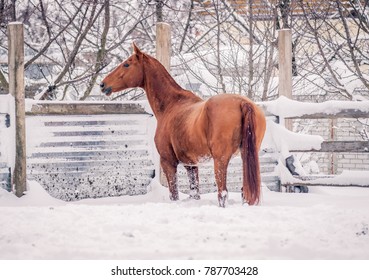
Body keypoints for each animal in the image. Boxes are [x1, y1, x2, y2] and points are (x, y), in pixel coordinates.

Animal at [100, 42, 264, 207]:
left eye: (127, 64)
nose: (102, 84)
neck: (171, 104)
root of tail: (243, 103)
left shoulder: (168, 162)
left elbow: (174, 194)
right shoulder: (191, 164)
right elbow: (194, 192)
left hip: (220, 160)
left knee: (222, 193)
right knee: (244, 191)